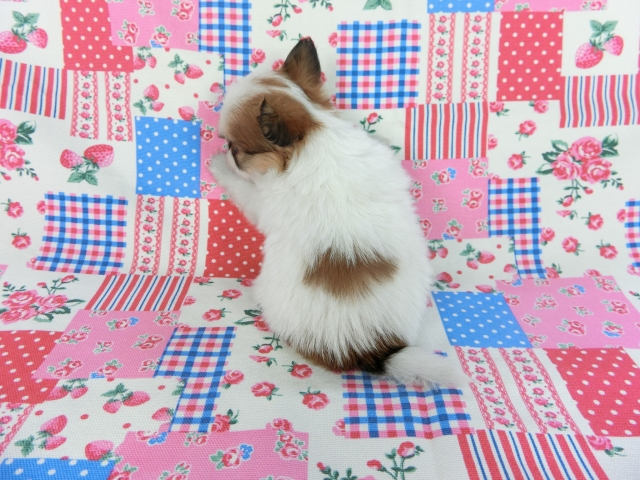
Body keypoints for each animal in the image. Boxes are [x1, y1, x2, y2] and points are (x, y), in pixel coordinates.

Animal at [208, 38, 462, 388]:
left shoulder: (262, 199)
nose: (226, 150)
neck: (315, 134)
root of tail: (375, 345)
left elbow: (242, 188)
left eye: (237, 148)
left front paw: (218, 164)